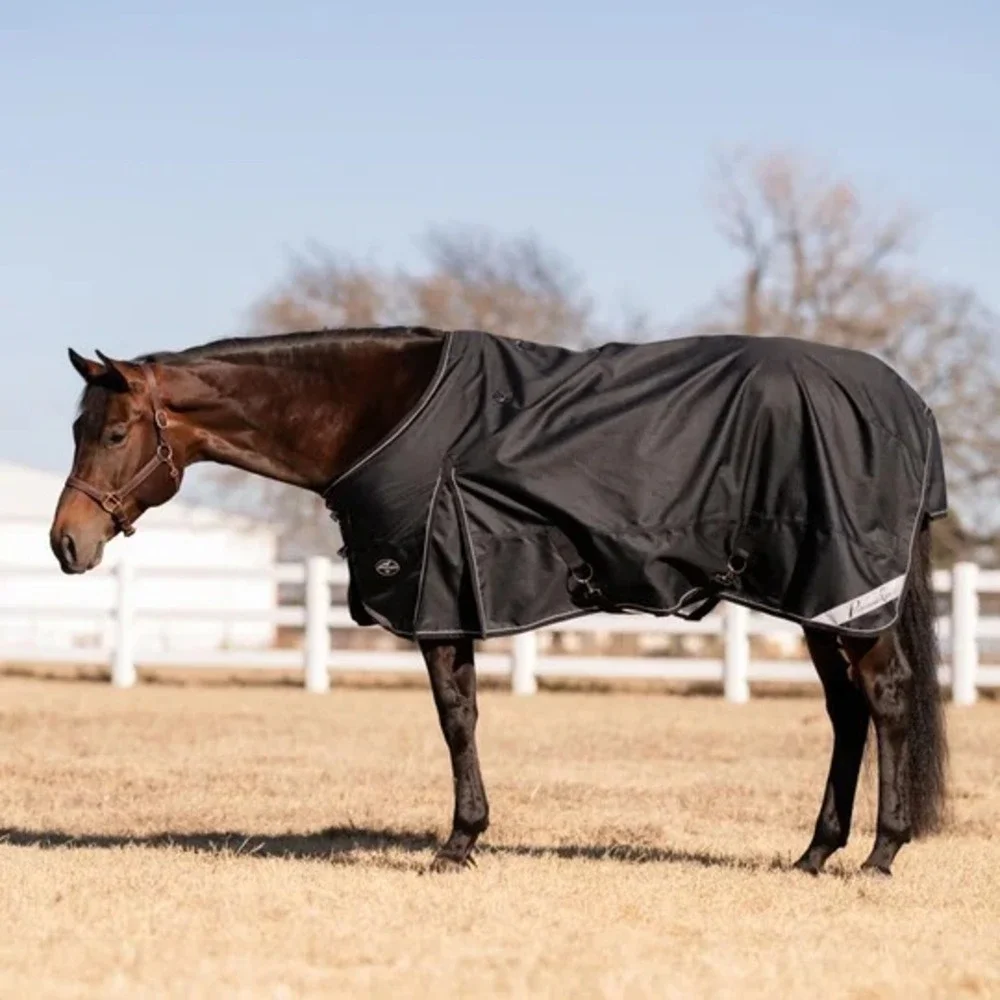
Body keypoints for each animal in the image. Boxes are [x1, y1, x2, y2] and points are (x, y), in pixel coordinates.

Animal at [49, 326, 948, 876]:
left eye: (115, 433)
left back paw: (881, 853)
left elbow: (456, 718)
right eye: (78, 429)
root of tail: (908, 403)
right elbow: (466, 716)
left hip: (842, 592)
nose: (66, 543)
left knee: (886, 699)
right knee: (846, 714)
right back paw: (816, 852)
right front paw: (467, 835)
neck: (381, 416)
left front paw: (459, 841)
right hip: (819, 601)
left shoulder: (437, 592)